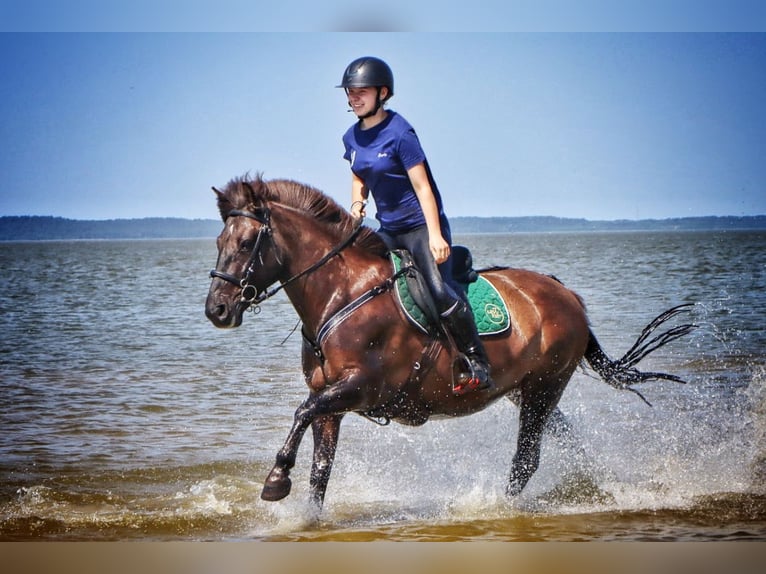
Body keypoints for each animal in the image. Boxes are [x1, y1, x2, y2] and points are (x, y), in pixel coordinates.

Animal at [204, 176, 696, 512]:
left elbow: (301, 413)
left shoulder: (362, 387)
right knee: (566, 443)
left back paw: (499, 510)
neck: (341, 295)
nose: (217, 310)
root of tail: (569, 296)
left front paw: (275, 479)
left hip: (545, 385)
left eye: (246, 244)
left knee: (526, 459)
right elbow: (320, 468)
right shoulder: (332, 401)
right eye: (219, 241)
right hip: (529, 391)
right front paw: (305, 516)